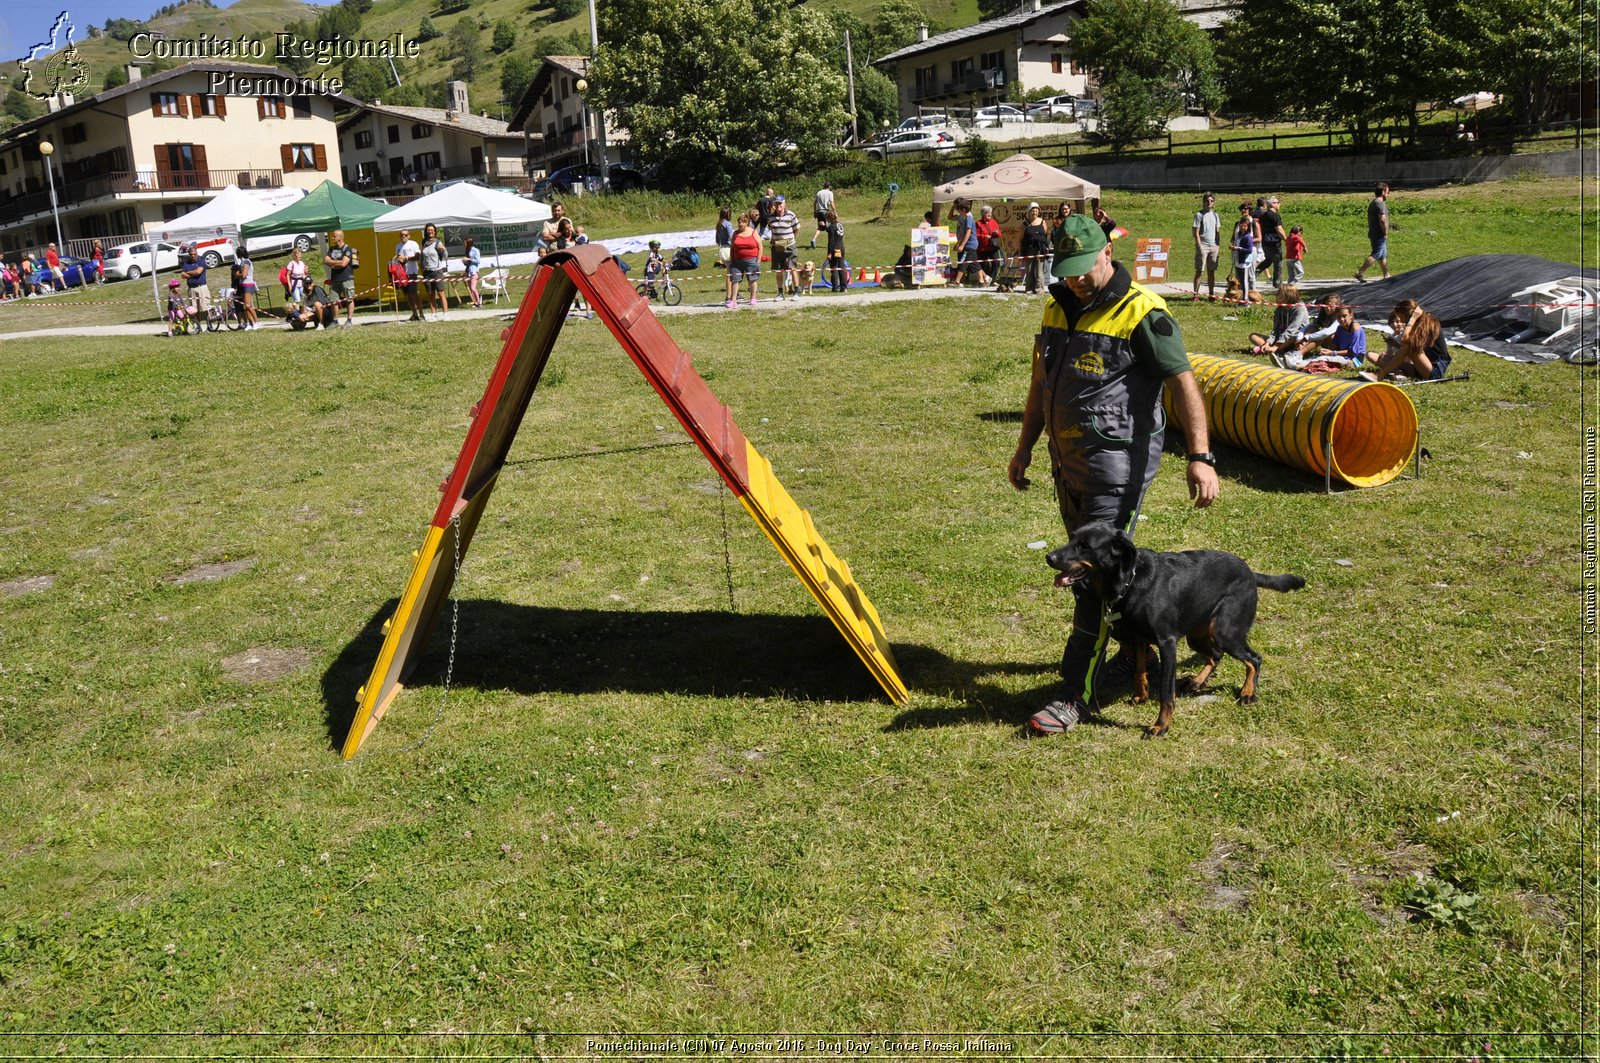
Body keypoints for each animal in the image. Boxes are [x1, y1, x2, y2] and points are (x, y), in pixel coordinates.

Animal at [1049, 521, 1299, 739]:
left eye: (1085, 546)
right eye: (1071, 538)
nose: (1048, 557)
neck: (1132, 581)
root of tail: (1250, 572)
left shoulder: (1167, 643)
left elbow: (1166, 693)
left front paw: (1161, 726)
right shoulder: (1137, 636)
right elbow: (1139, 670)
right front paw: (1140, 696)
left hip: (1225, 631)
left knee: (1254, 659)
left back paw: (1248, 693)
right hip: (1197, 636)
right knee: (1216, 654)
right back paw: (1197, 682)